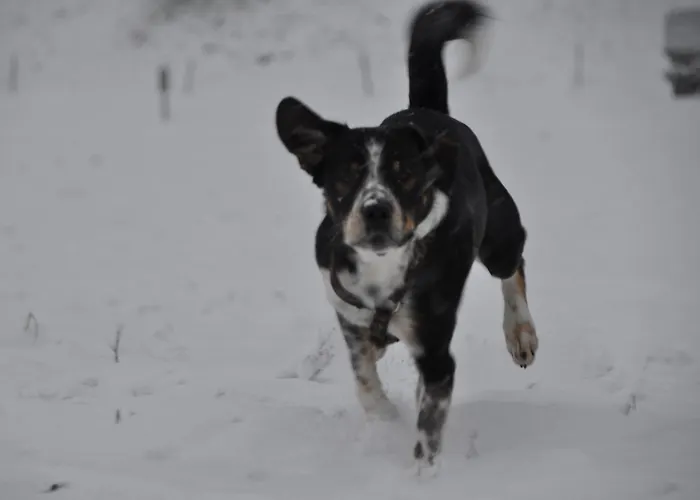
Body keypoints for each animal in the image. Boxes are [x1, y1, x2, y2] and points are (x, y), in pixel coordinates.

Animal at [275, 0, 538, 471]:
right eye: (347, 176)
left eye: (406, 175)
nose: (376, 210)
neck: (382, 270)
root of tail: (428, 111)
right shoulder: (348, 314)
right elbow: (363, 375)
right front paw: (383, 415)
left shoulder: (435, 352)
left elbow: (428, 426)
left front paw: (421, 473)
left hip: (499, 234)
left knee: (514, 265)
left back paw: (520, 333)